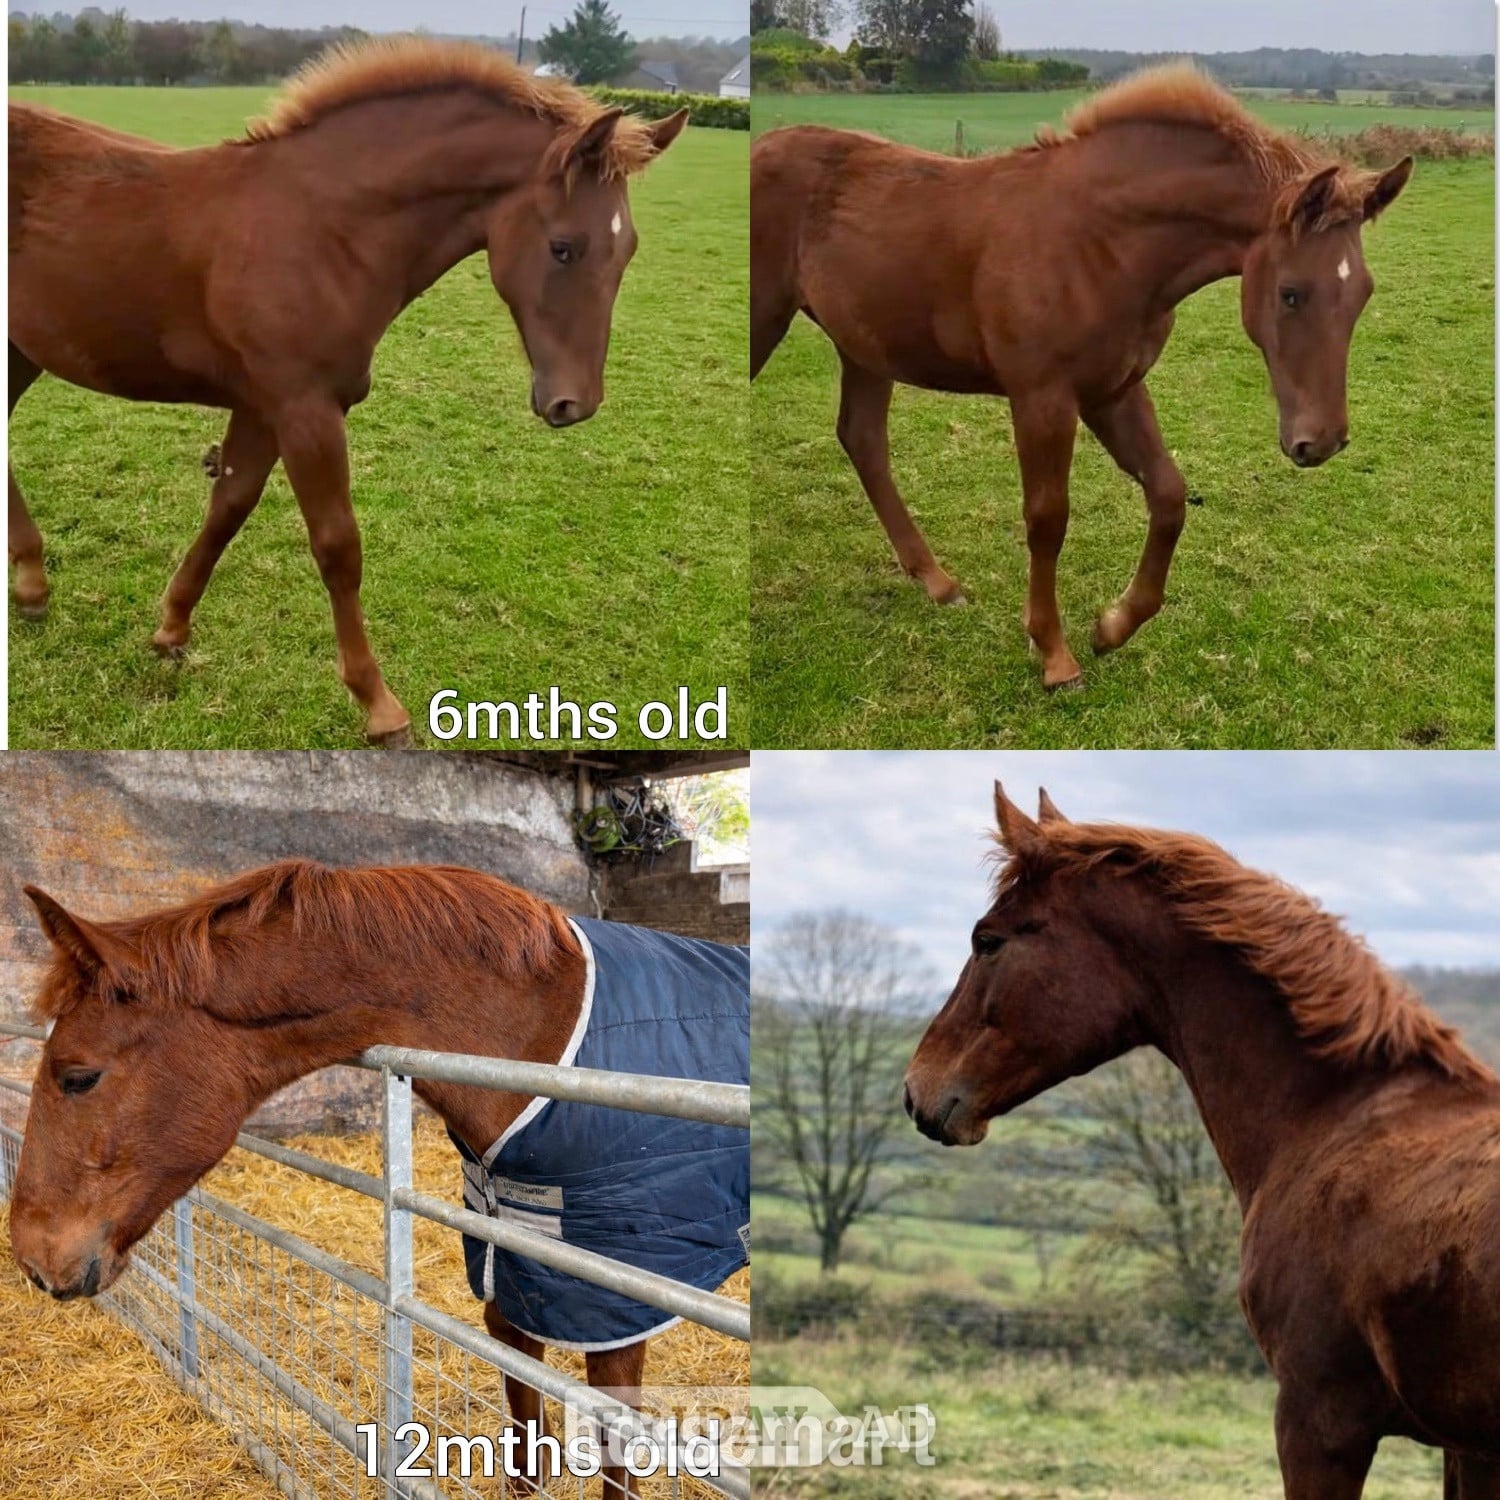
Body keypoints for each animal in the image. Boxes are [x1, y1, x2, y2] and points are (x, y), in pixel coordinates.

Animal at [7, 860, 747, 1499]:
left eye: (78, 1076)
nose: (34, 1258)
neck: (545, 1032)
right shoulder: (512, 1273)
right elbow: (524, 1437)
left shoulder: (618, 1293)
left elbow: (616, 1453)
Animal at [9, 38, 688, 744]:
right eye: (563, 248)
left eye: (627, 250)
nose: (573, 403)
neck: (324, 230)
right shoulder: (304, 409)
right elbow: (338, 546)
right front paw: (379, 704)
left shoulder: (262, 406)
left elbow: (228, 508)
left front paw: (171, 628)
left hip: (21, 349)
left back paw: (31, 585)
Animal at [750, 67, 1412, 690]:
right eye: (1291, 293)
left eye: (1363, 293)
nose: (1321, 442)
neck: (1100, 239)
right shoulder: (1042, 398)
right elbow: (1048, 517)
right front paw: (1055, 655)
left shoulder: (1113, 390)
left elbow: (1168, 496)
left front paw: (1112, 626)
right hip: (771, 321)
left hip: (864, 346)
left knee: (863, 440)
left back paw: (938, 582)